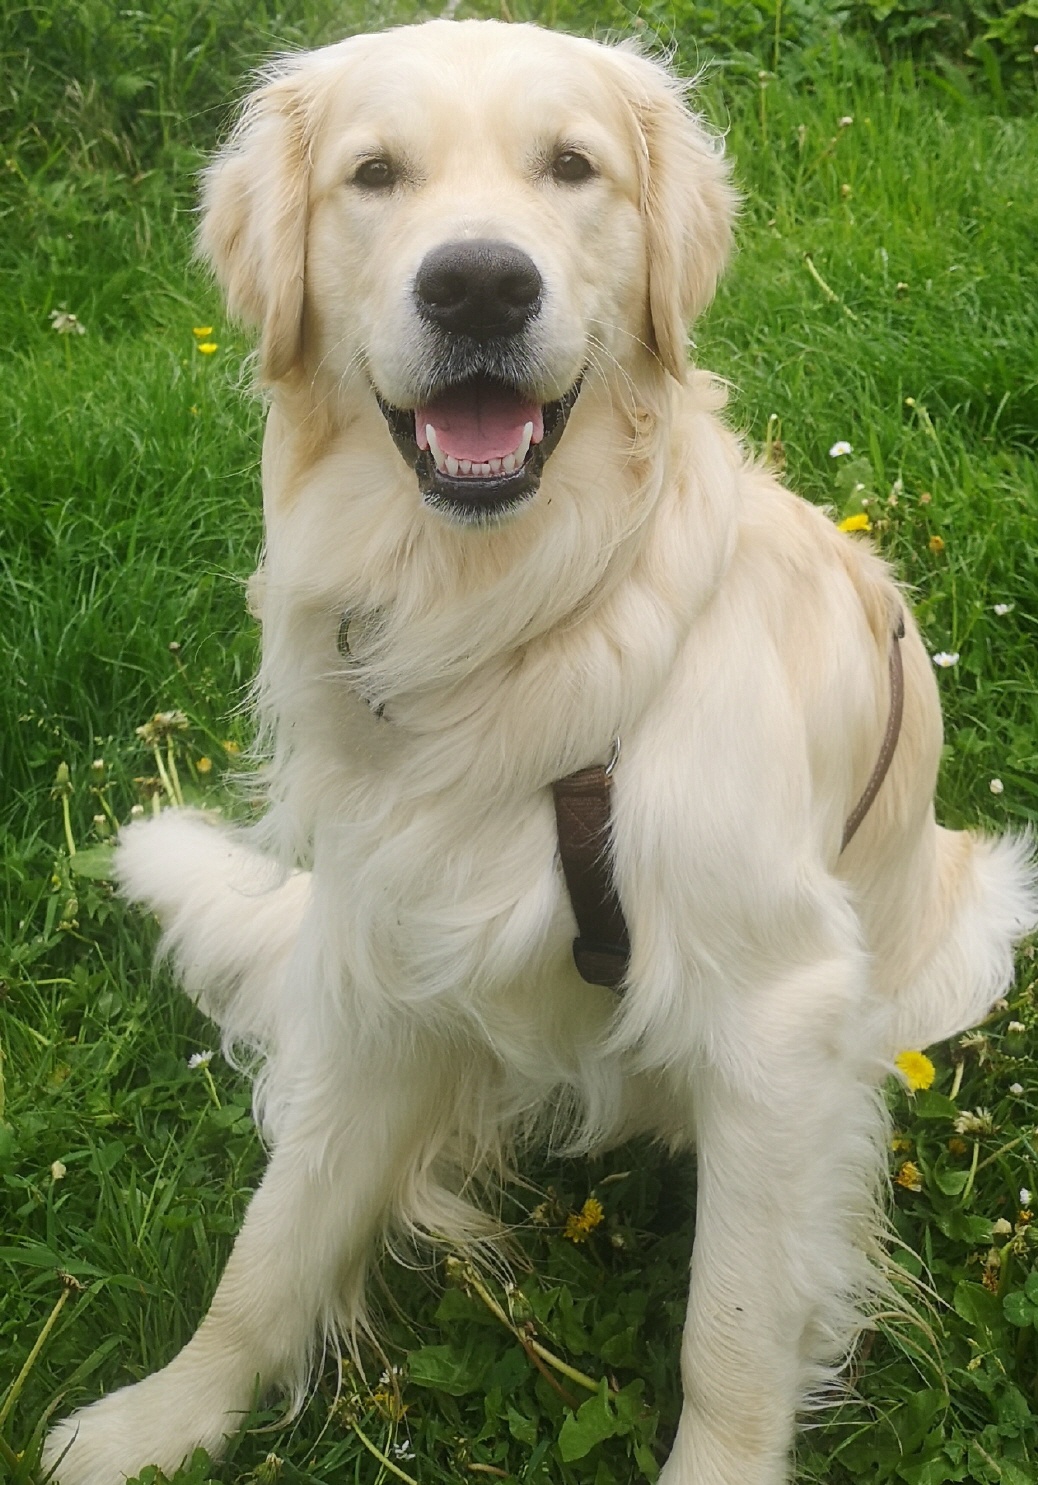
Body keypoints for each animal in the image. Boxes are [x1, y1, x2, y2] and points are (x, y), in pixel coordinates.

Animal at [48, 23, 1038, 1485]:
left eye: (571, 167)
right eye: (374, 175)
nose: (478, 285)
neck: (518, 617)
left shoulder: (776, 1011)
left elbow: (731, 1330)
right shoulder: (379, 958)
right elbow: (274, 1238)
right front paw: (166, 1417)